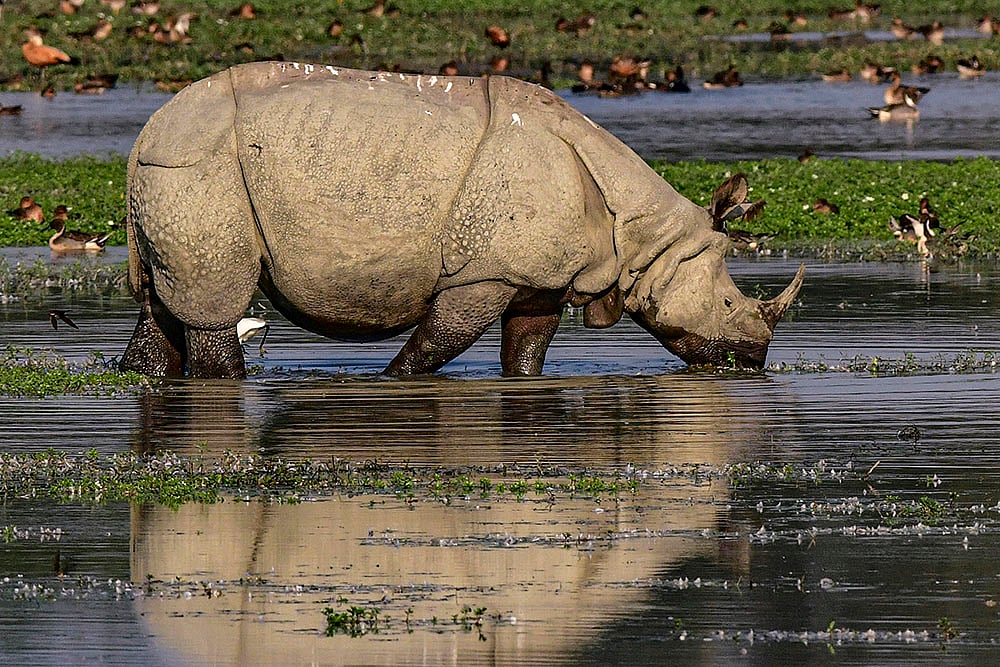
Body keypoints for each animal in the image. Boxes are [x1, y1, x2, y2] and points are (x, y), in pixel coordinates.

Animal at [119, 62, 804, 378]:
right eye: (728, 306)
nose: (754, 361)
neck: (645, 238)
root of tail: (144, 136)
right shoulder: (485, 274)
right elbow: (434, 344)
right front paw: (391, 379)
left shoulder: (537, 278)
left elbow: (526, 349)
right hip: (201, 168)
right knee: (213, 307)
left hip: (173, 177)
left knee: (162, 305)